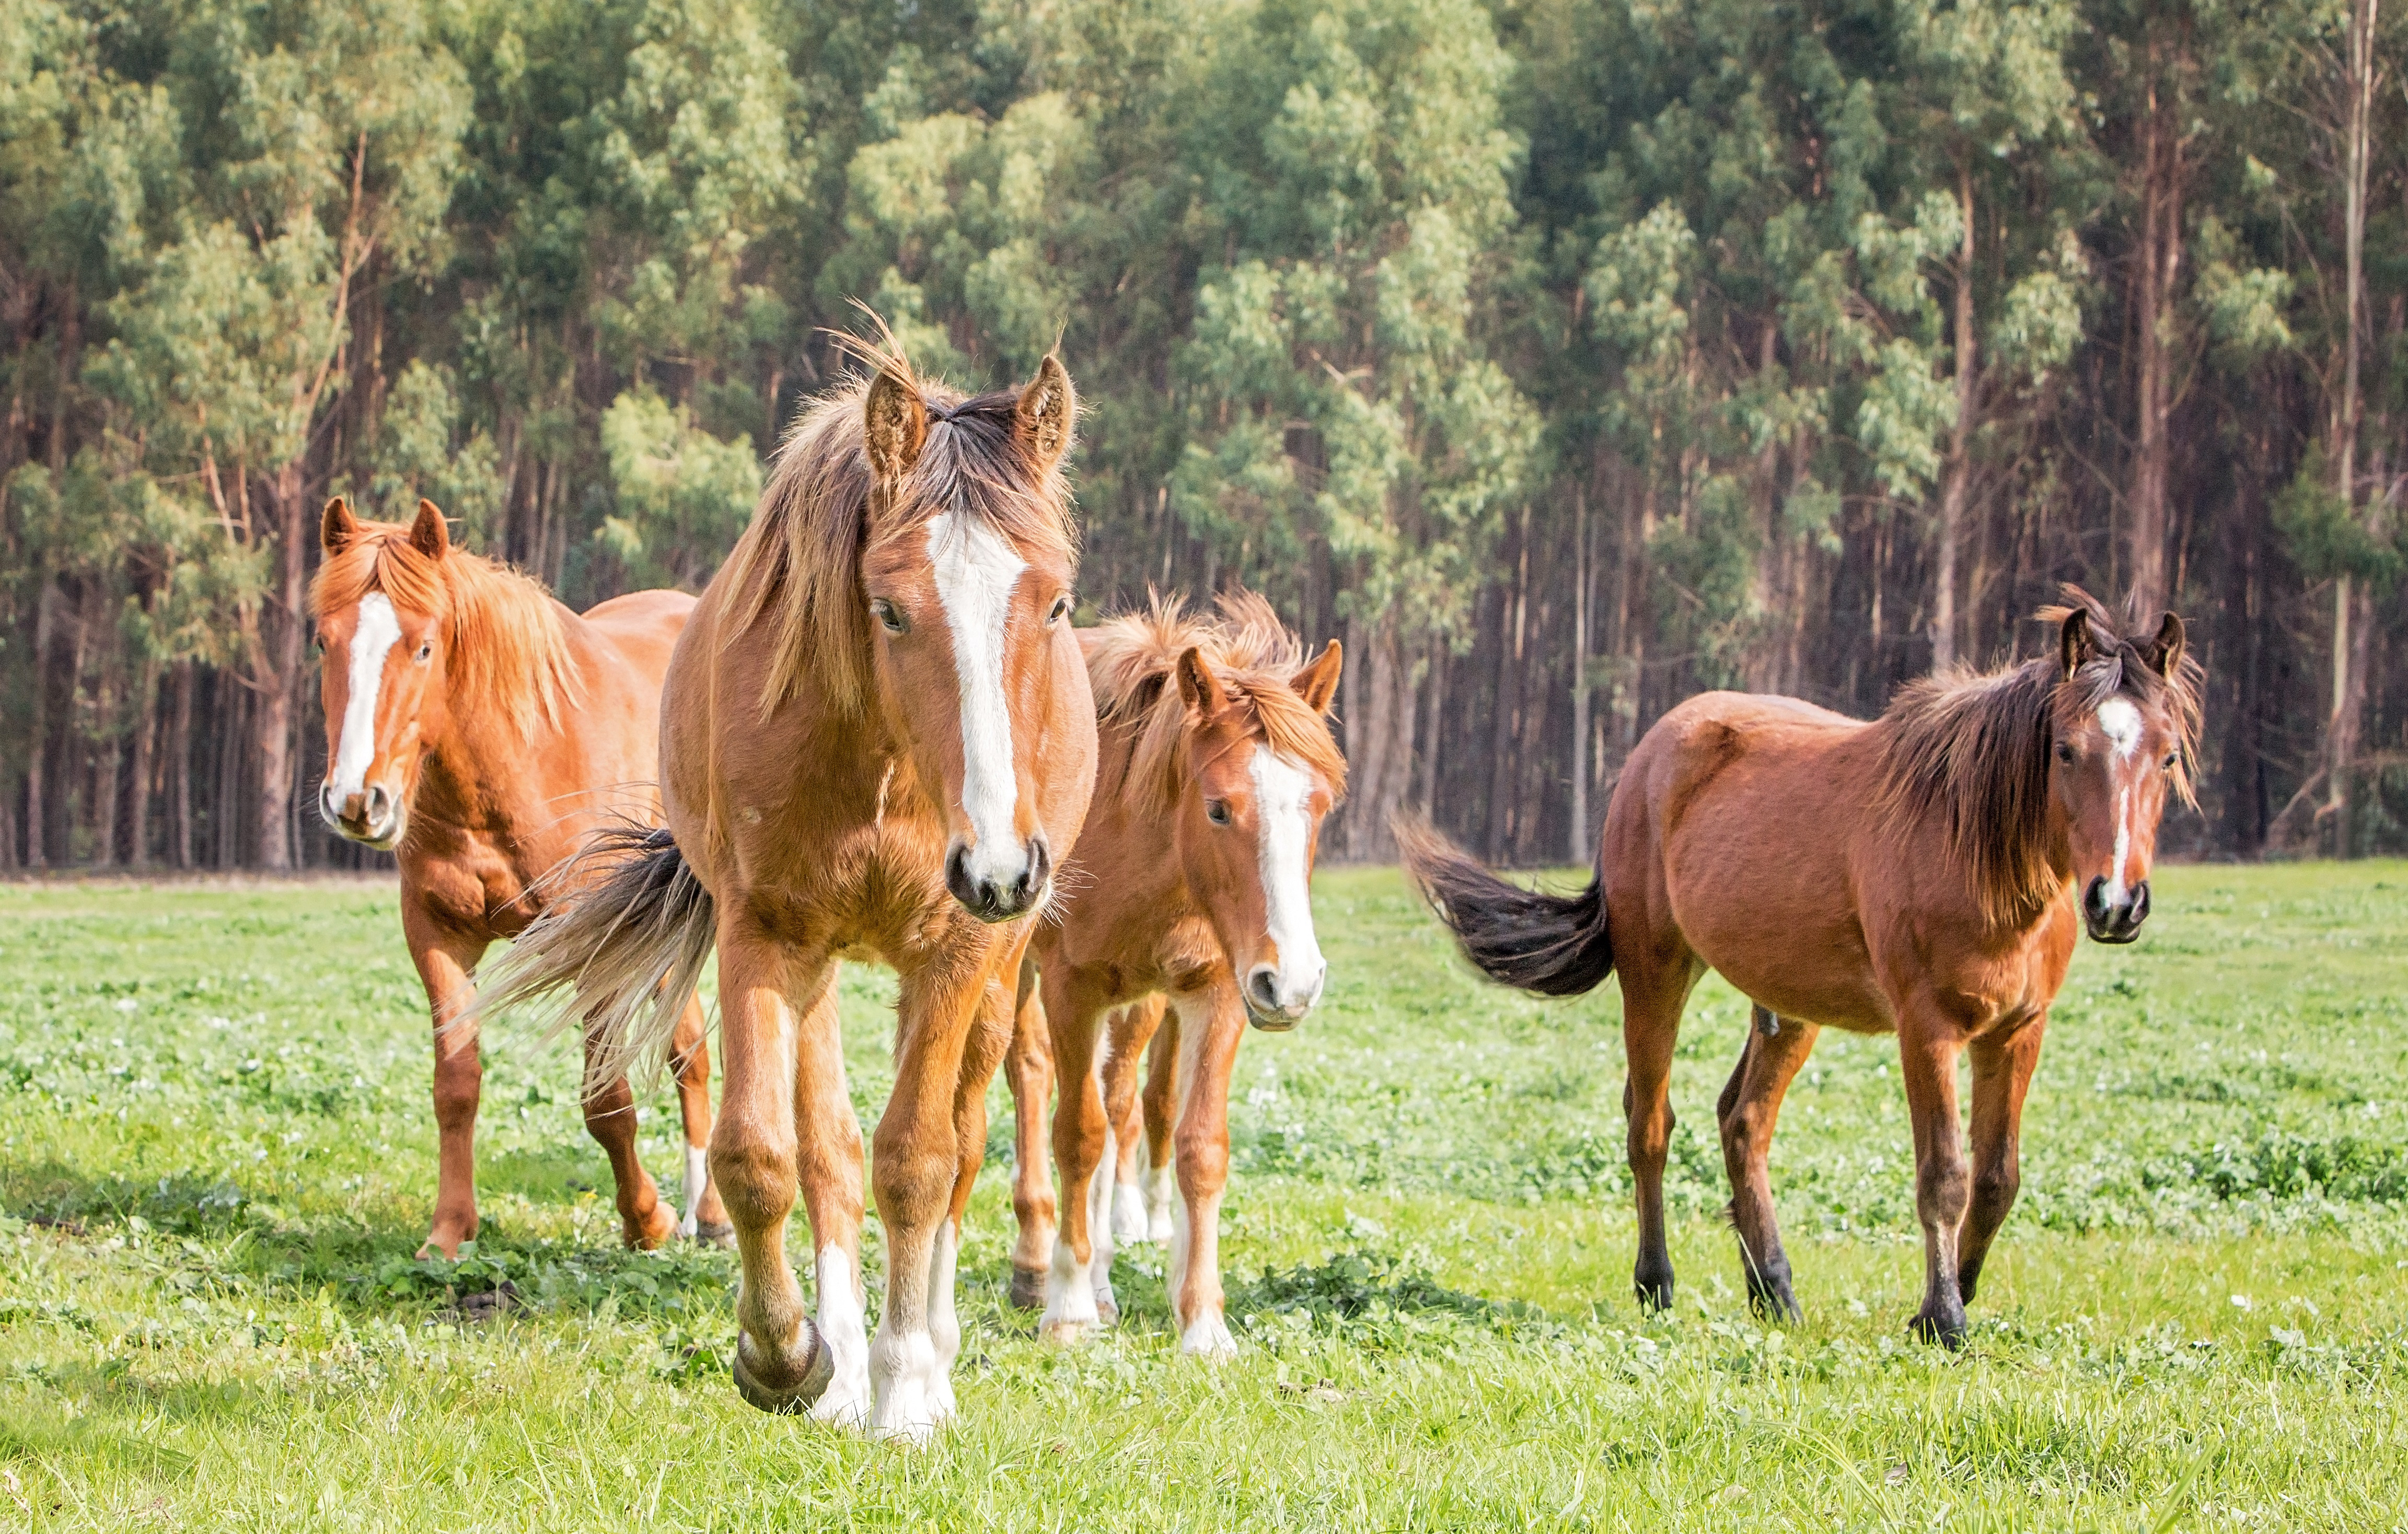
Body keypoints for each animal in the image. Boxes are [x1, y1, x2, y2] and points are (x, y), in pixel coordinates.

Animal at [311, 497, 729, 1258]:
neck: (515, 764)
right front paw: (449, 1232)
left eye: (423, 646)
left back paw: (705, 1212)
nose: (357, 800)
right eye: (322, 642)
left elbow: (606, 1099)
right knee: (688, 1048)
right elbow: (456, 1084)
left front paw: (646, 1220)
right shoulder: (437, 937)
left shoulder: (596, 945)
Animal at [475, 340, 1095, 1441]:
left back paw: (927, 1354)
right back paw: (839, 1363)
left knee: (963, 1140)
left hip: (993, 972)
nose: (997, 867)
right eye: (888, 607)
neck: (885, 764)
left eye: (1055, 603)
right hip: (819, 967)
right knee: (829, 1149)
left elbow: (919, 1158)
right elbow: (764, 1156)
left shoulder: (955, 950)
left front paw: (908, 1390)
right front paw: (787, 1357)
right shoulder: (764, 933)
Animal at [1001, 593, 1344, 1355]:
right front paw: (1069, 1309)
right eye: (1219, 808)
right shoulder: (1073, 990)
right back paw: (1041, 1269)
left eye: (1321, 806)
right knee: (1034, 1079)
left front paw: (1203, 1322)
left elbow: (1198, 1146)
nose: (1296, 982)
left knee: (1119, 1100)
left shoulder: (1217, 993)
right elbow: (1079, 1137)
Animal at [1401, 590, 2201, 1346]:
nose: (2116, 901)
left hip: (1787, 1006)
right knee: (1651, 1123)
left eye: (2166, 755)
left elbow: (1999, 1178)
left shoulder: (2018, 1030)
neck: (1974, 846)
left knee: (1743, 1122)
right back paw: (1658, 1283)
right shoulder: (1928, 1030)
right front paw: (1942, 1318)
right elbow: (1944, 1174)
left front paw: (1961, 1292)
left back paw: (1774, 1289)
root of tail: (1651, 752)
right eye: (2065, 750)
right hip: (1656, 970)